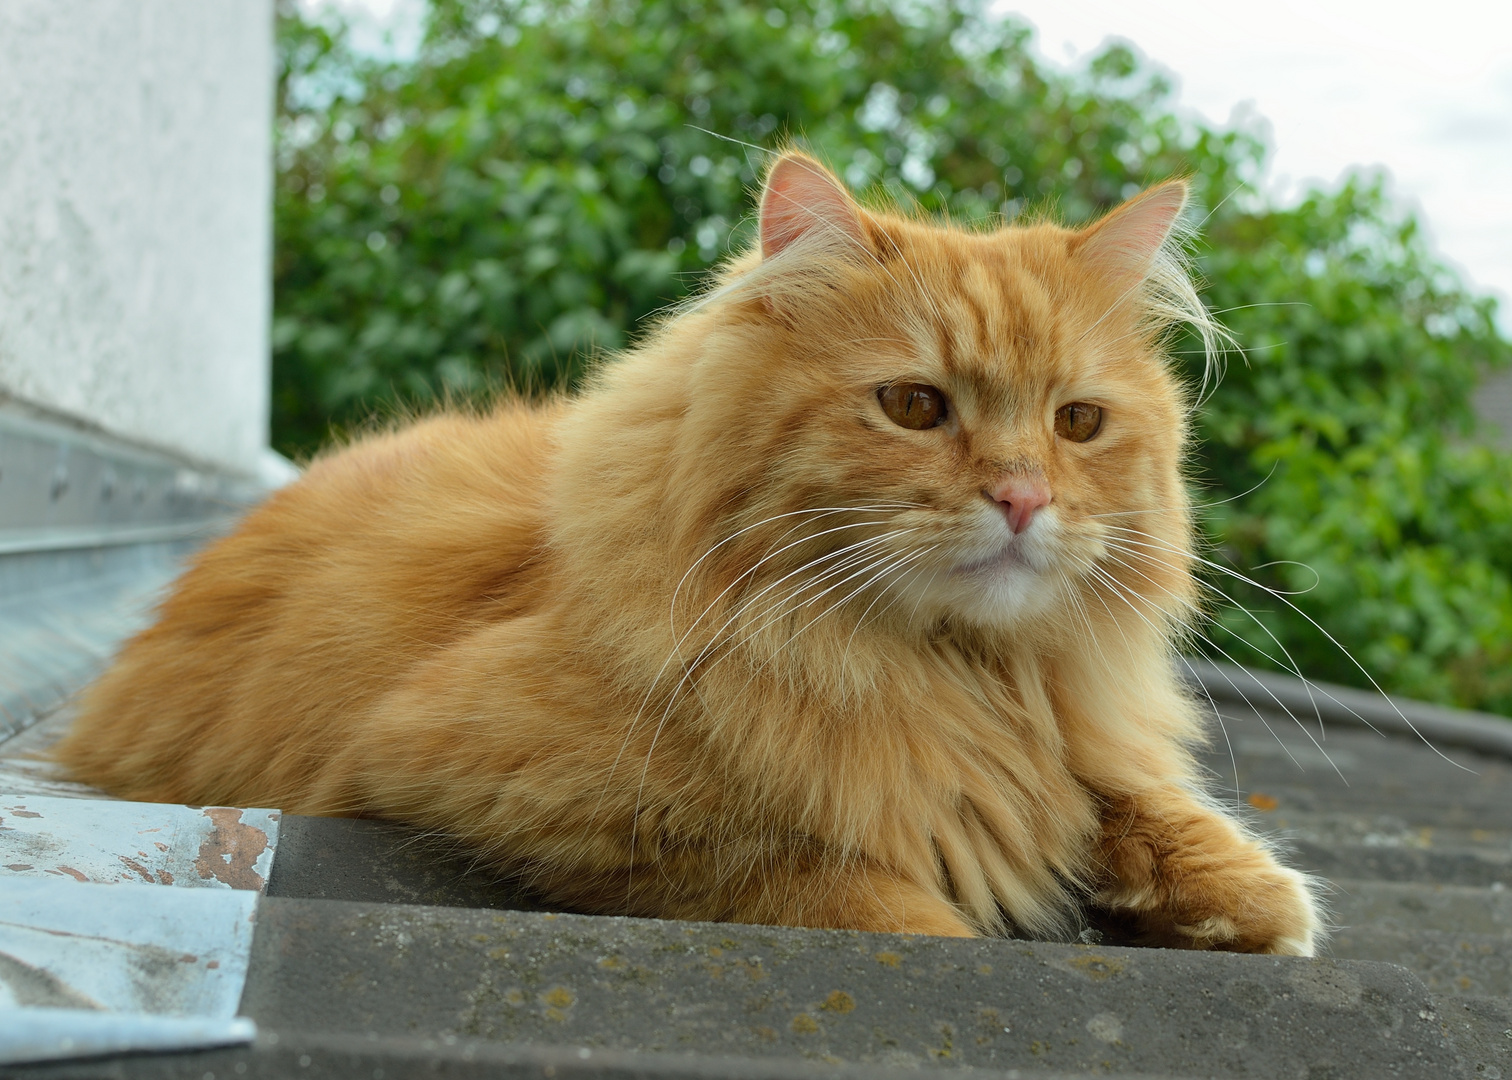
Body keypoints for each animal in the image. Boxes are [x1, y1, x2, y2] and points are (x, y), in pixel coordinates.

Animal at [55, 153, 1324, 949]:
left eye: (1077, 424)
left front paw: (1253, 898)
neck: (950, 671)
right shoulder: (482, 772)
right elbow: (830, 879)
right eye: (915, 407)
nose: (1022, 496)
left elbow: (1134, 794)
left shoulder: (1068, 734)